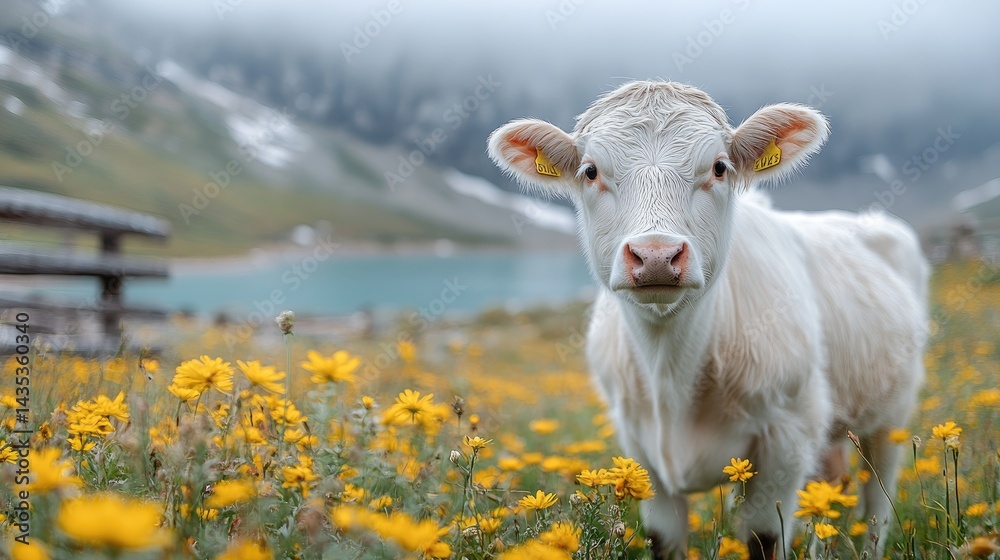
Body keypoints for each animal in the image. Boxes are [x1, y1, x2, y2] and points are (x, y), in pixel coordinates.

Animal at [488, 81, 927, 560]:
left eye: (719, 167)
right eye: (590, 171)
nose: (656, 255)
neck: (672, 377)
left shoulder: (786, 440)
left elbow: (764, 538)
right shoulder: (641, 451)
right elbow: (664, 540)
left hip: (891, 417)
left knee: (877, 503)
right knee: (831, 492)